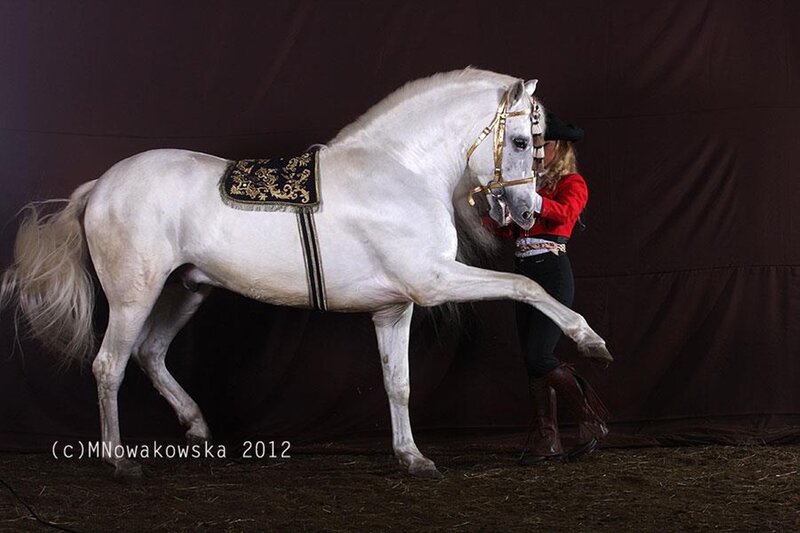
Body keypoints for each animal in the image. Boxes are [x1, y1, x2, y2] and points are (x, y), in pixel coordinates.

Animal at [0, 68, 612, 479]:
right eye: (522, 140)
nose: (527, 212)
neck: (399, 170)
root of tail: (102, 186)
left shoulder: (395, 306)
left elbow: (398, 383)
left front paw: (412, 458)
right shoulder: (432, 280)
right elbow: (526, 284)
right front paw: (591, 340)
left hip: (186, 290)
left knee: (150, 354)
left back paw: (197, 427)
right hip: (135, 293)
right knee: (110, 365)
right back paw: (120, 462)